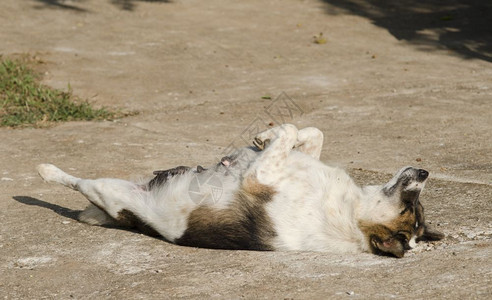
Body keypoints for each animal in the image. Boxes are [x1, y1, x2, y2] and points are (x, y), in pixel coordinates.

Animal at [36, 124, 444, 258]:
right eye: (415, 206)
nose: (425, 171)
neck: (351, 212)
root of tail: (132, 221)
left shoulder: (259, 176)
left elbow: (289, 133)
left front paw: (271, 135)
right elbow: (309, 133)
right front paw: (264, 135)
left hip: (109, 190)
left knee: (75, 183)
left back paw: (45, 171)